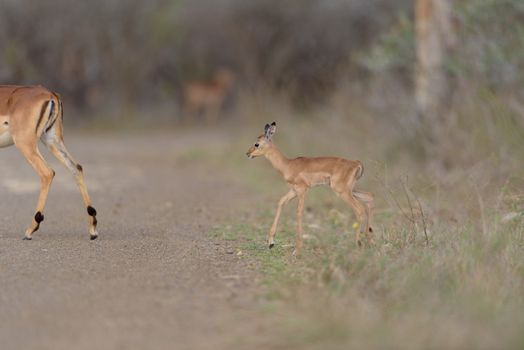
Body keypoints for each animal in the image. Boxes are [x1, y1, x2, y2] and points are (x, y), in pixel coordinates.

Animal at [0, 85, 98, 239]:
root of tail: (50, 94)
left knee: (47, 172)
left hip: (26, 144)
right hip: (52, 140)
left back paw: (30, 230)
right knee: (76, 167)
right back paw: (93, 229)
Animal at [246, 121, 372, 253]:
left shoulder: (302, 190)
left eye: (257, 144)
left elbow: (299, 212)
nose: (248, 154)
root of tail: (356, 162)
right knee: (369, 197)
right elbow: (281, 202)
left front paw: (297, 249)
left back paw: (358, 244)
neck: (288, 165)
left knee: (360, 209)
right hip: (350, 190)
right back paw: (369, 240)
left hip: (342, 191)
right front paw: (271, 242)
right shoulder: (293, 190)